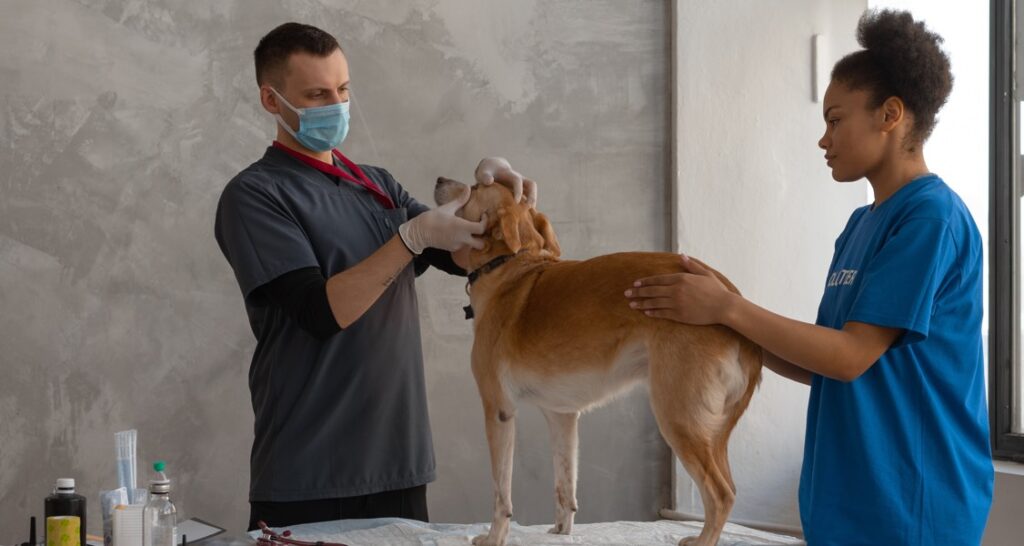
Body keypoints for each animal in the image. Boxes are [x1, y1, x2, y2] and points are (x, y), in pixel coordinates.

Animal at [436, 176, 765, 540]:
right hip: (709, 428)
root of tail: (729, 296)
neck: (509, 268)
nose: (439, 180)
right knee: (727, 489)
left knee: (721, 495)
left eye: (477, 186)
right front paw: (561, 532)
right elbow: (565, 486)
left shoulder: (499, 410)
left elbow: (500, 493)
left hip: (679, 416)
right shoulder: (562, 415)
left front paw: (494, 537)